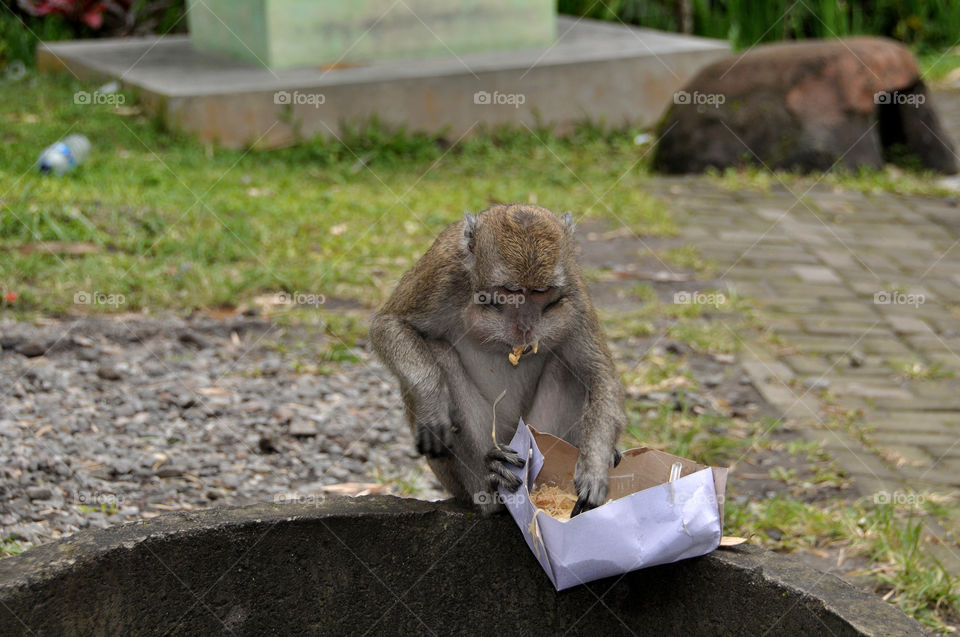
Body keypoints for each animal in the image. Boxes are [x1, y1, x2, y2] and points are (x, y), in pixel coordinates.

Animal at [370, 204, 625, 516]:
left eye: (540, 291)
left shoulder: (574, 293)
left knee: (569, 368)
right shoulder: (443, 272)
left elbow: (600, 376)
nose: (525, 325)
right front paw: (431, 406)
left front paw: (594, 469)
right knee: (439, 353)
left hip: (539, 432)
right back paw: (492, 484)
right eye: (510, 291)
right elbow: (389, 326)